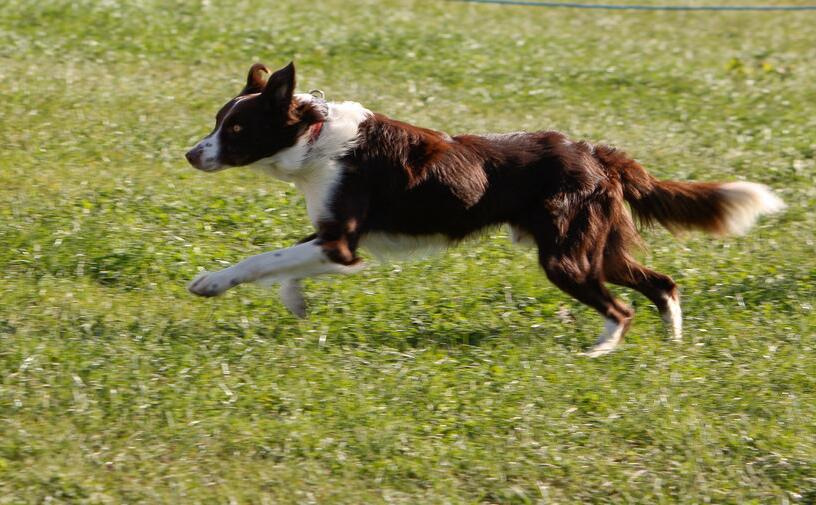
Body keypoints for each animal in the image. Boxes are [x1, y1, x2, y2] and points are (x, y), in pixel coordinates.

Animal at [185, 62, 784, 356]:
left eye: (235, 129)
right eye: (217, 121)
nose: (191, 154)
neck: (311, 136)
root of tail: (595, 152)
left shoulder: (342, 242)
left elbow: (262, 259)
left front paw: (211, 283)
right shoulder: (335, 239)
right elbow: (284, 265)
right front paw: (296, 301)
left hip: (565, 258)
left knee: (622, 308)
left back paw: (599, 353)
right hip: (597, 248)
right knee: (663, 283)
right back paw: (672, 345)